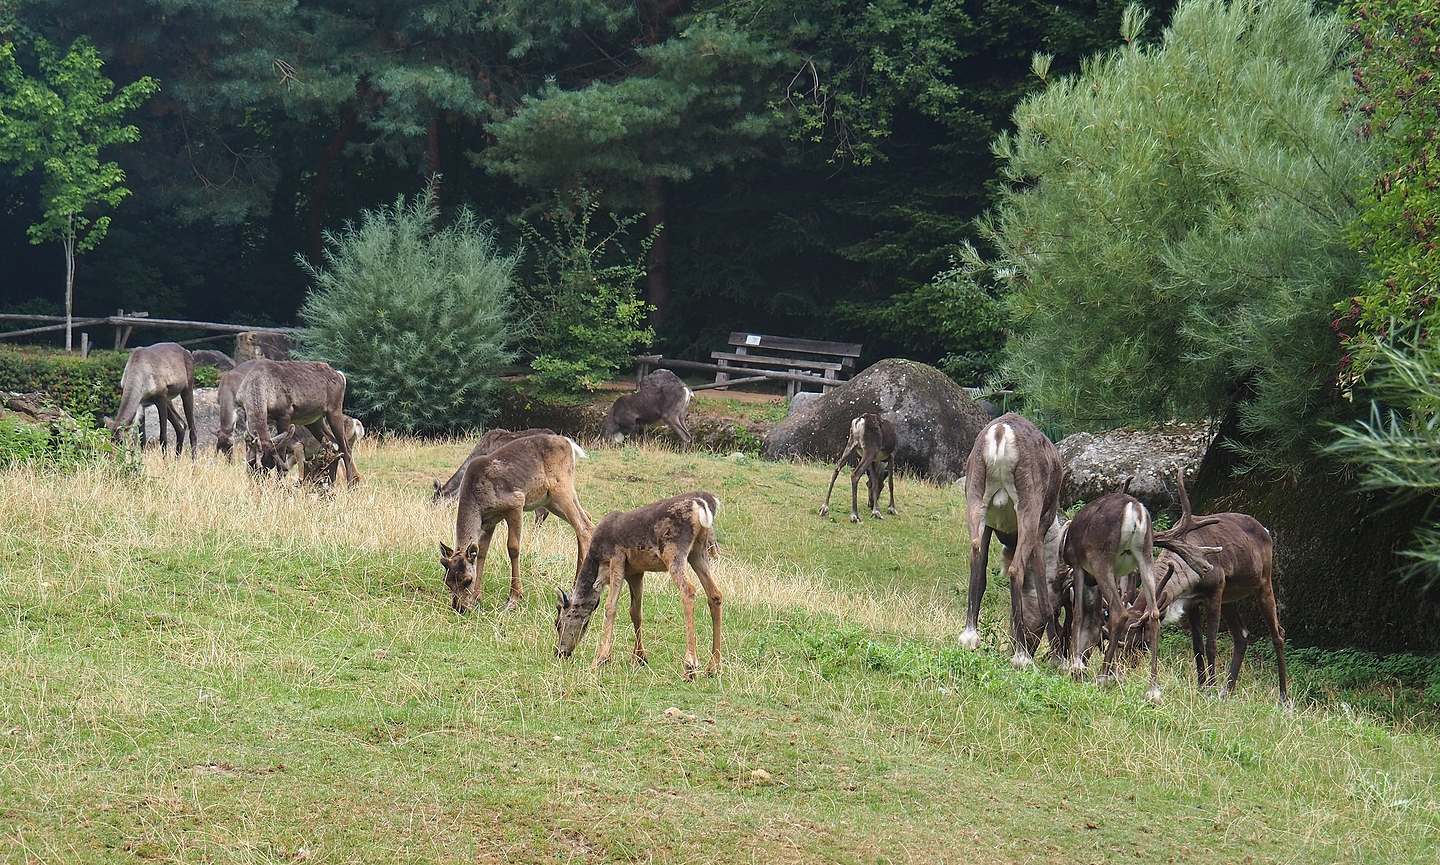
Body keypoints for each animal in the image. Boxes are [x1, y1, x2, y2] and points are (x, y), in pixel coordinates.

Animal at [439, 434, 595, 614]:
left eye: (467, 580)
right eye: (447, 581)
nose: (459, 608)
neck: (477, 502)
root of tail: (569, 443)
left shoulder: (515, 503)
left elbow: (513, 548)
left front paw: (513, 598)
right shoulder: (489, 521)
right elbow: (482, 552)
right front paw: (477, 598)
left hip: (561, 485)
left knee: (584, 527)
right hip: (549, 499)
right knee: (585, 518)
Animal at [555, 491, 721, 680]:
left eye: (557, 623)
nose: (560, 653)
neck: (598, 566)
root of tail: (702, 504)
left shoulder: (616, 557)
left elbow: (610, 606)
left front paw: (602, 658)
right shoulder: (635, 572)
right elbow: (635, 612)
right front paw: (639, 657)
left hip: (673, 549)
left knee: (689, 590)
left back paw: (690, 667)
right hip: (698, 550)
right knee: (715, 594)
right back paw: (713, 667)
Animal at [959, 413, 1065, 669]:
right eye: (1061, 605)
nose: (1033, 644)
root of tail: (1000, 432)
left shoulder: (989, 526)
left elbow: (982, 577)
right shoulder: (1040, 530)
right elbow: (1044, 599)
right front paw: (1059, 660)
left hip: (976, 501)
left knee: (975, 559)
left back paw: (970, 637)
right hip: (1028, 510)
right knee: (1016, 570)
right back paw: (1022, 657)